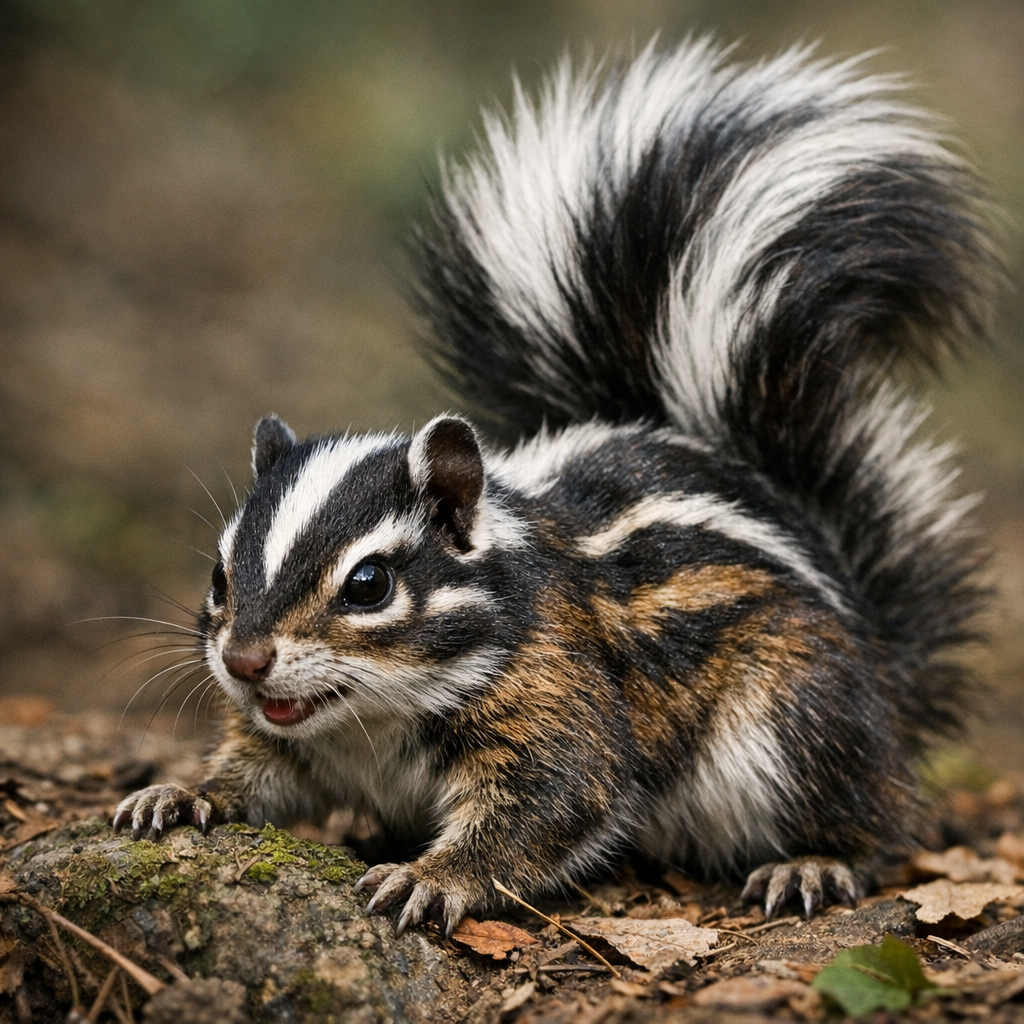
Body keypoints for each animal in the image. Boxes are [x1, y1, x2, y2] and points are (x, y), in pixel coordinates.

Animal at [114, 39, 995, 936]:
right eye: (219, 575)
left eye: (369, 585)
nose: (244, 661)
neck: (373, 720)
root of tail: (884, 662)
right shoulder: (296, 742)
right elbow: (258, 772)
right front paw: (181, 794)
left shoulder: (558, 699)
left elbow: (550, 802)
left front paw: (432, 877)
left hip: (795, 718)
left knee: (877, 816)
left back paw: (815, 861)